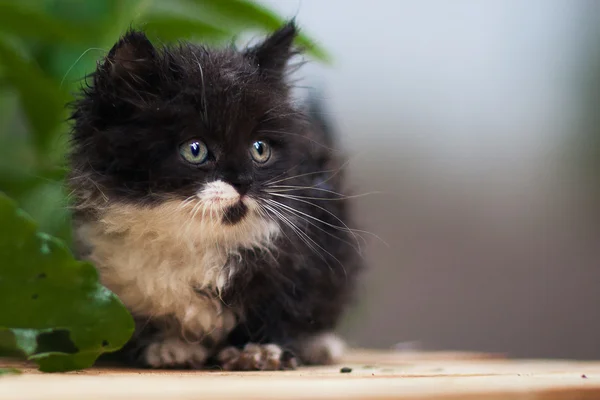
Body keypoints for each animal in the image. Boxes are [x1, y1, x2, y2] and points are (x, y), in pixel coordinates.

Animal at [68, 21, 364, 370]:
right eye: (195, 150)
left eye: (259, 149)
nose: (243, 182)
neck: (194, 240)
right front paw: (171, 346)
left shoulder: (303, 257)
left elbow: (281, 309)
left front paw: (260, 349)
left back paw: (320, 345)